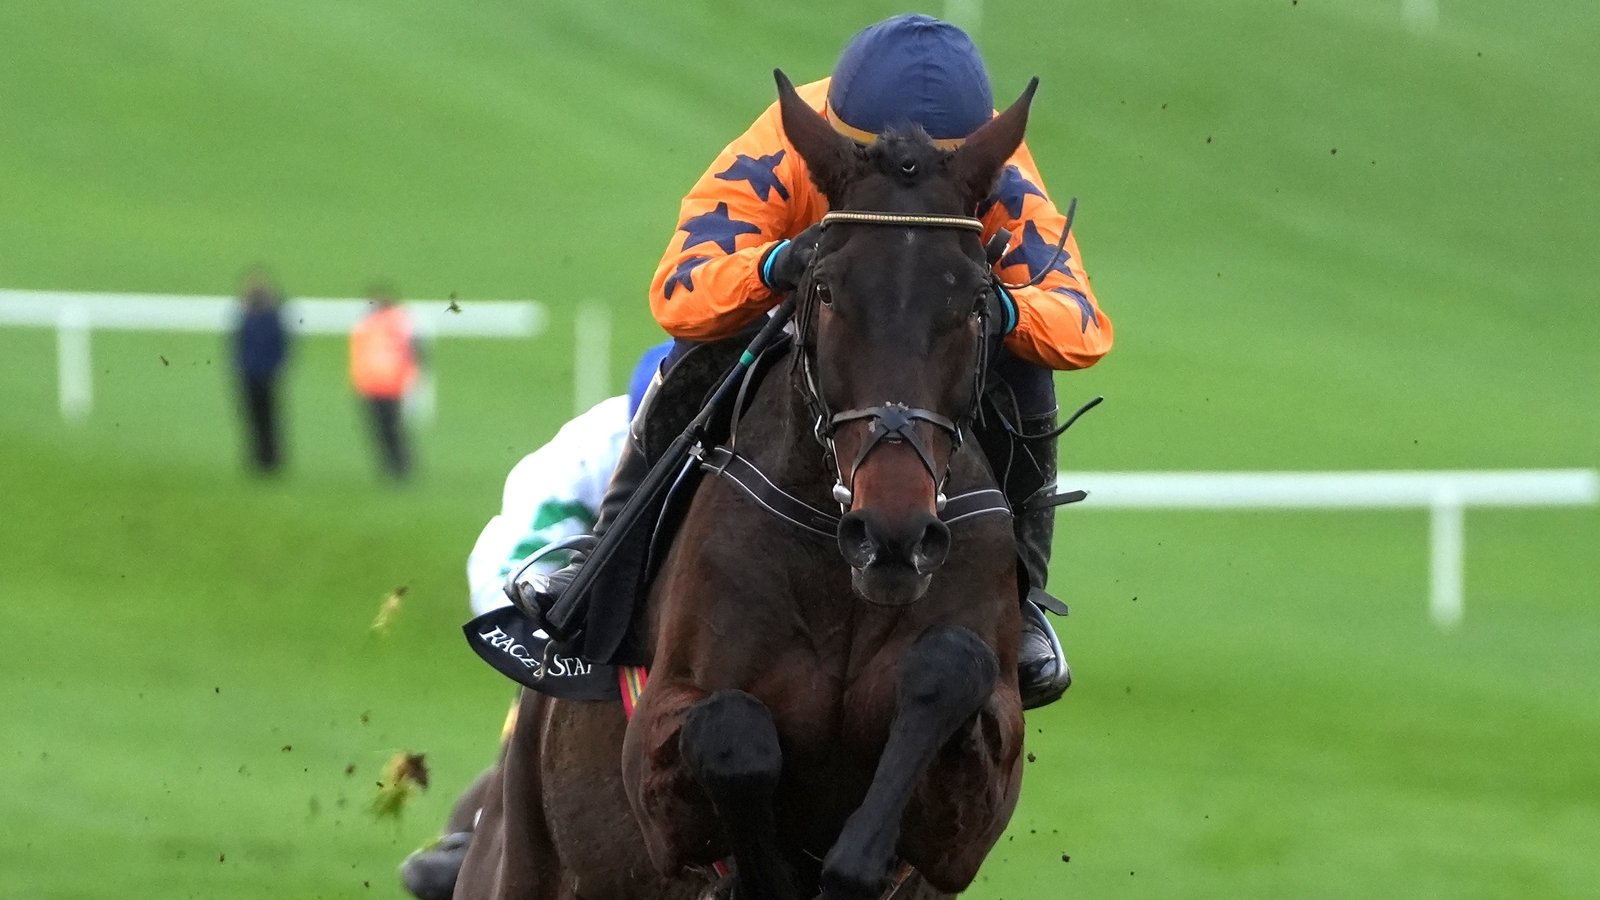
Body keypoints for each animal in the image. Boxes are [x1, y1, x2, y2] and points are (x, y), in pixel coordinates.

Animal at [454, 69, 1037, 900]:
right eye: (825, 288)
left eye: (974, 297)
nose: (890, 533)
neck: (843, 581)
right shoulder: (660, 748)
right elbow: (730, 731)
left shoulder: (974, 804)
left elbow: (949, 669)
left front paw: (852, 863)